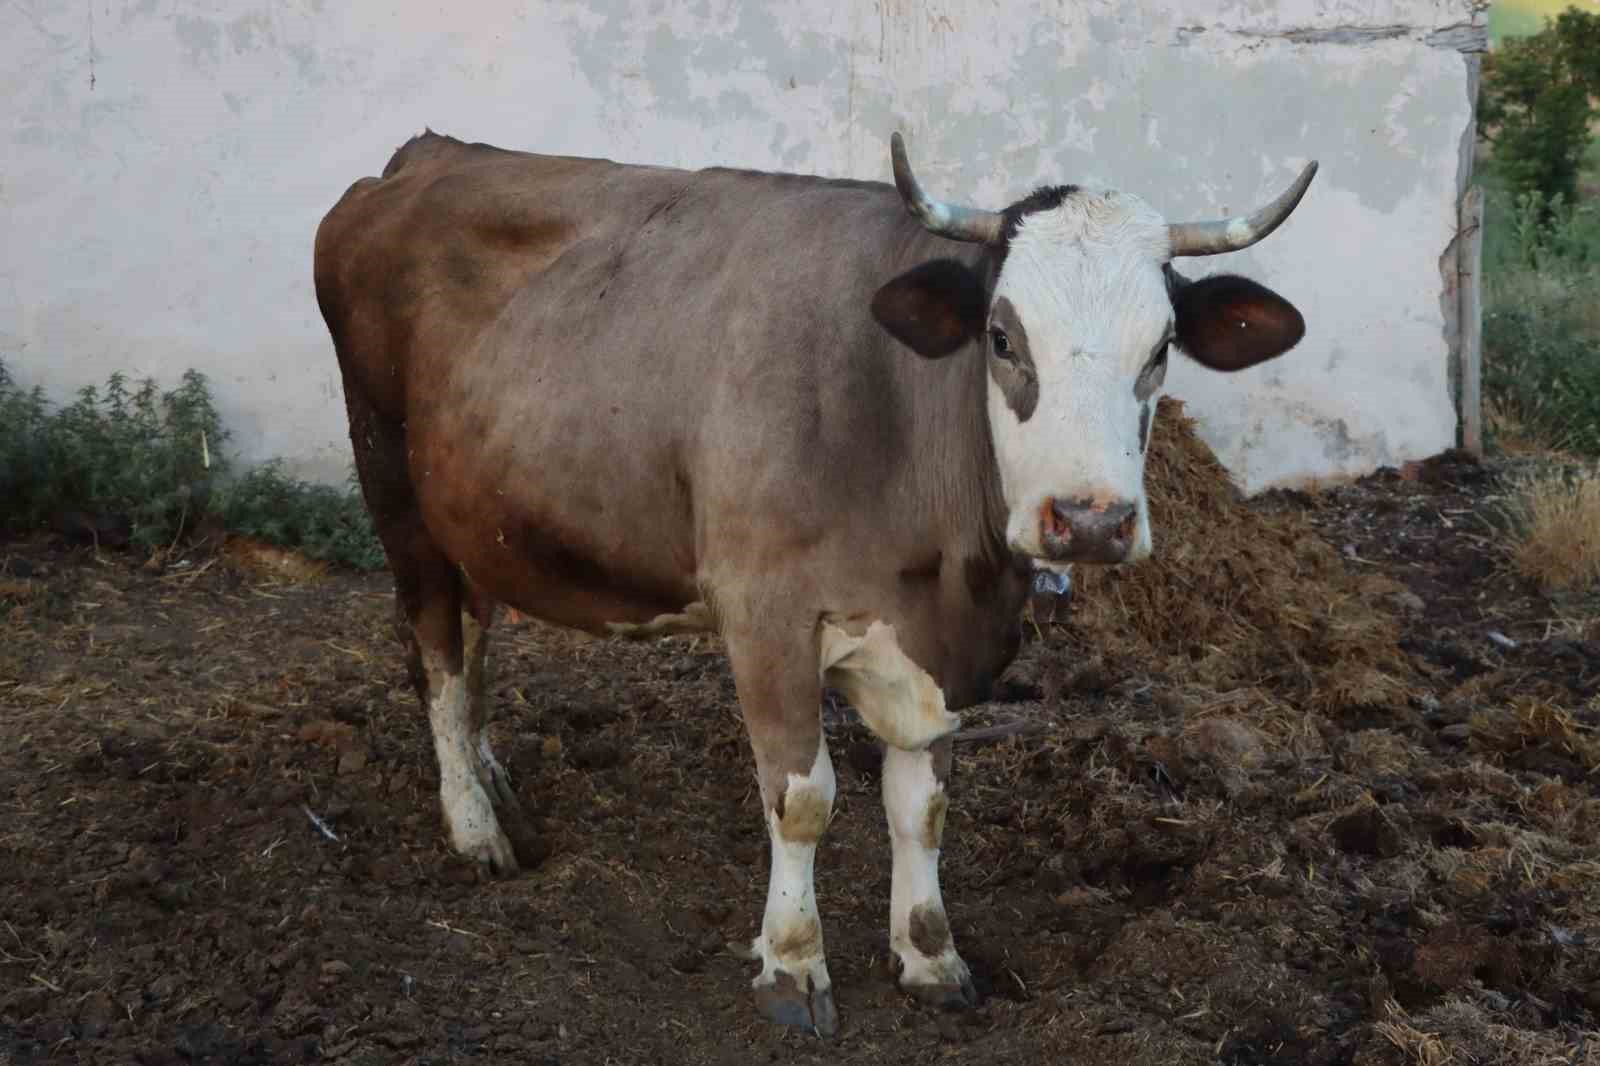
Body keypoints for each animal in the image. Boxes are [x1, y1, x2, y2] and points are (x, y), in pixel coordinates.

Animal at [312, 128, 1312, 1030]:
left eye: (1163, 346)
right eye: (1001, 337)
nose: (1093, 519)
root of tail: (427, 153)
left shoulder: (942, 652)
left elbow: (923, 806)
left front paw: (929, 955)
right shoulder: (764, 612)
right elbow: (802, 800)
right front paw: (792, 963)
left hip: (478, 511)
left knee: (476, 633)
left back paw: (497, 785)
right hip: (392, 485)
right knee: (438, 655)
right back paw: (474, 825)